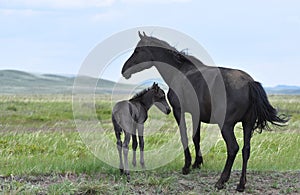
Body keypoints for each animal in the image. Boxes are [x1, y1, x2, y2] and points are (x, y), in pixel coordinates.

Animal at [120, 32, 288, 192]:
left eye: (137, 50)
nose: (124, 70)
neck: (181, 71)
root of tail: (249, 82)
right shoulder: (197, 115)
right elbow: (196, 138)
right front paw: (197, 163)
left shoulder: (179, 111)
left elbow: (184, 136)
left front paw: (187, 166)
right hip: (248, 124)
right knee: (246, 150)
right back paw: (241, 185)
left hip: (226, 126)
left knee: (233, 148)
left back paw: (221, 181)